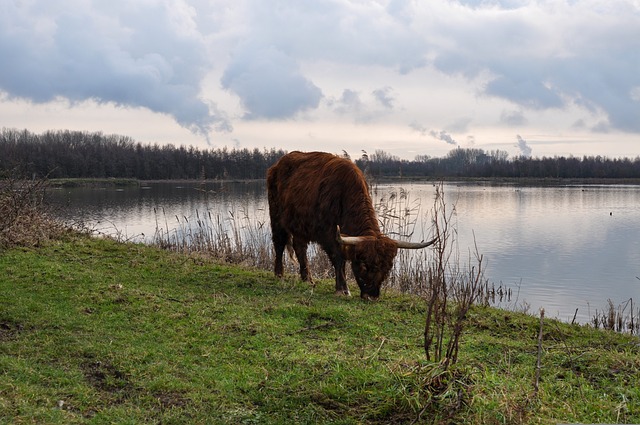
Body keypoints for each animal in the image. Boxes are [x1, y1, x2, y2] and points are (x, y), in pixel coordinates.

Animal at [264, 151, 436, 300]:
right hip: (277, 217)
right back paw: (279, 274)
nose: (372, 296)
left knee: (300, 248)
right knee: (279, 243)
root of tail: (277, 165)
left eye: (387, 267)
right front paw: (343, 289)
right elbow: (338, 260)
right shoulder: (330, 236)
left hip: (300, 226)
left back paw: (307, 279)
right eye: (364, 265)